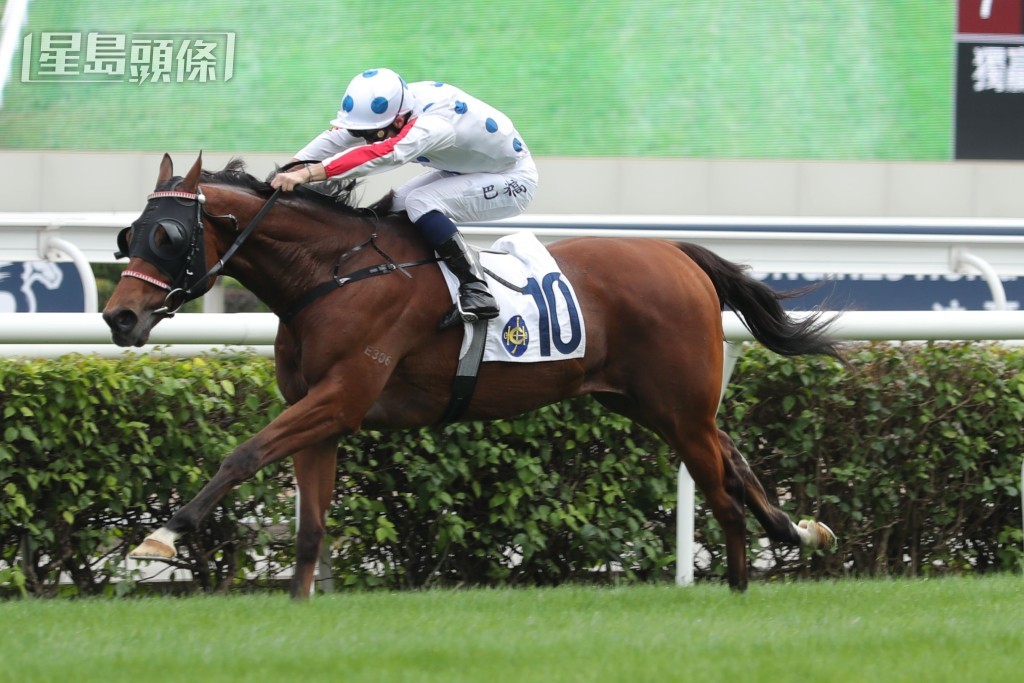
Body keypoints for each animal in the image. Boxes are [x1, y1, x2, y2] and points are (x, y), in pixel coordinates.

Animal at [103, 152, 842, 597]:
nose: (119, 315)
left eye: (167, 237)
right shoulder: (322, 416)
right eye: (129, 233)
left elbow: (242, 453)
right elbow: (310, 524)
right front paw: (297, 605)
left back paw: (740, 588)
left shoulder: (341, 398)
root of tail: (682, 255)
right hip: (649, 402)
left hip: (677, 406)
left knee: (721, 492)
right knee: (732, 457)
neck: (332, 274)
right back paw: (797, 530)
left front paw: (162, 535)